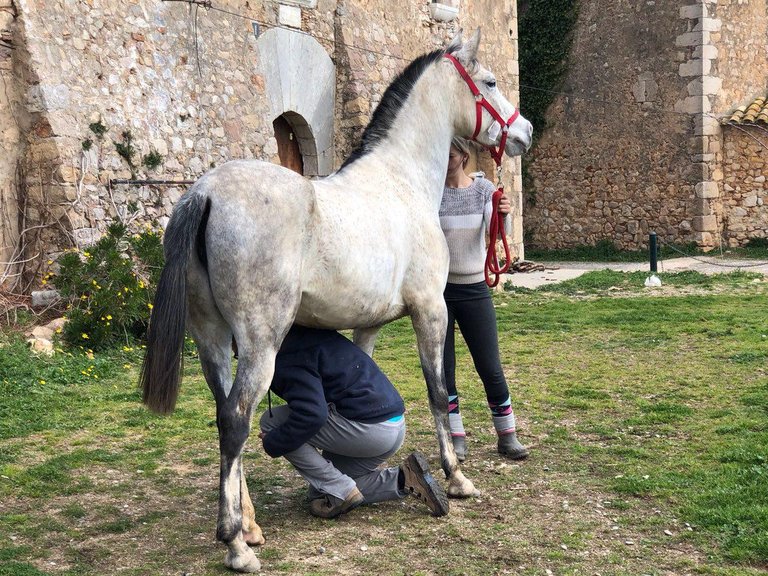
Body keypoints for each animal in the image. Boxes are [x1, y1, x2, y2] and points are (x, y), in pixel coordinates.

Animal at [141, 30, 532, 572]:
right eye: (491, 81)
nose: (524, 133)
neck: (401, 180)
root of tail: (206, 193)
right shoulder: (431, 310)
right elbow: (439, 392)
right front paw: (455, 479)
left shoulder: (366, 326)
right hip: (260, 344)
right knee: (237, 419)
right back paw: (236, 544)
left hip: (212, 340)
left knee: (223, 415)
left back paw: (251, 526)